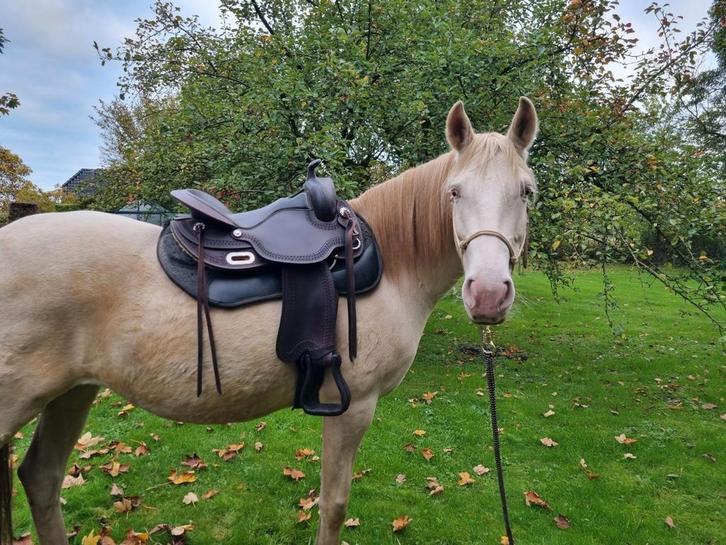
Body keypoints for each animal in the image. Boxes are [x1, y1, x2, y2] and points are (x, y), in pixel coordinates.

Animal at [0, 97, 537, 545]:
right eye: (454, 193)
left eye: (526, 193)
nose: (488, 294)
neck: (393, 263)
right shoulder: (353, 406)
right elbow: (334, 505)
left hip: (73, 394)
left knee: (41, 478)